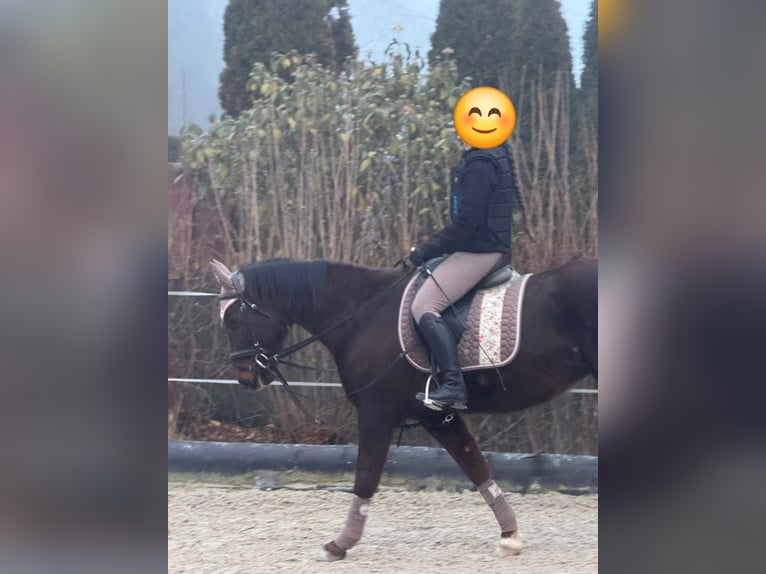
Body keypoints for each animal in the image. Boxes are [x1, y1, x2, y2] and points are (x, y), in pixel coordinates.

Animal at [210, 256, 597, 561]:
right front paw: (510, 537)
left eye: (233, 320)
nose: (246, 377)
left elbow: (365, 477)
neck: (362, 314)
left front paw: (339, 545)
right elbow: (476, 467)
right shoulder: (439, 417)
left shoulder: (375, 414)